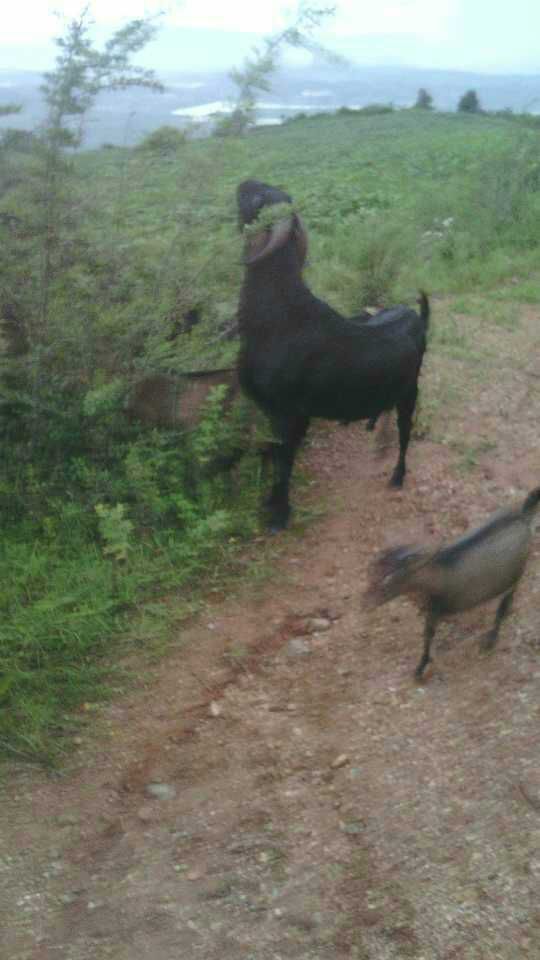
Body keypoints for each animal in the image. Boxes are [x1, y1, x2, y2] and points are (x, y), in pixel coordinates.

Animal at [236, 180, 430, 532]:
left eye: (258, 198)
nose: (243, 182)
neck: (280, 316)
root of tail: (417, 318)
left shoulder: (290, 414)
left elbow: (284, 460)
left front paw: (279, 515)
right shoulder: (274, 413)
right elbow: (271, 453)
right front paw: (271, 504)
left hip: (410, 391)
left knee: (405, 432)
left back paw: (397, 476)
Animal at [364, 488, 536, 676]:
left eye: (389, 579)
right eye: (370, 573)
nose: (365, 603)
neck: (433, 573)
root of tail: (524, 516)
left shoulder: (434, 610)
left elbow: (428, 636)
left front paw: (421, 668)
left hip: (515, 577)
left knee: (504, 604)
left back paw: (491, 640)